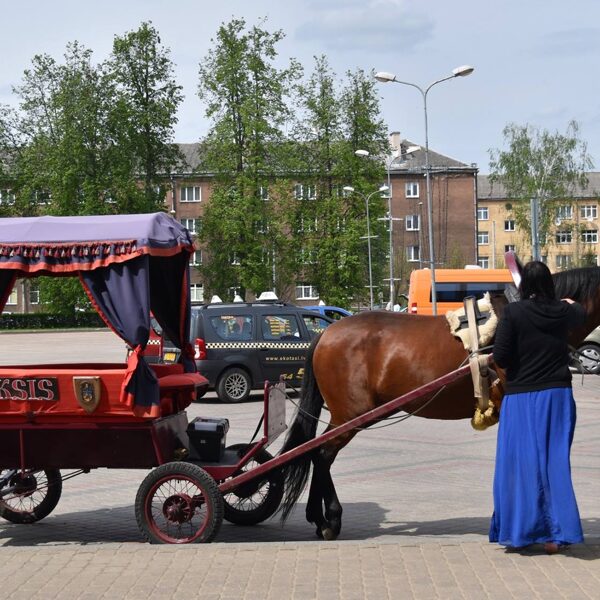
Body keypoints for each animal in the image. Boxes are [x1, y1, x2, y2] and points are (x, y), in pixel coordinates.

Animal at [278, 266, 600, 540]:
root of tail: (326, 333)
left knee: (316, 454)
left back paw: (318, 517)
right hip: (350, 416)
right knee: (322, 455)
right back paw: (329, 519)